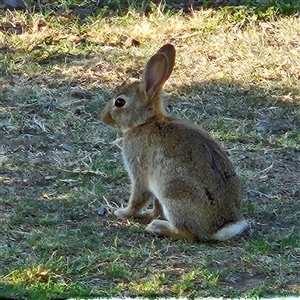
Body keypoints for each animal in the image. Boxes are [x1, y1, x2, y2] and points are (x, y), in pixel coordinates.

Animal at [102, 44, 247, 241]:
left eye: (119, 102)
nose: (103, 117)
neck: (146, 121)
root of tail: (217, 230)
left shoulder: (139, 172)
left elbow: (138, 197)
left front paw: (122, 213)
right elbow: (155, 205)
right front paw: (148, 215)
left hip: (173, 192)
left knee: (188, 234)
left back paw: (157, 227)